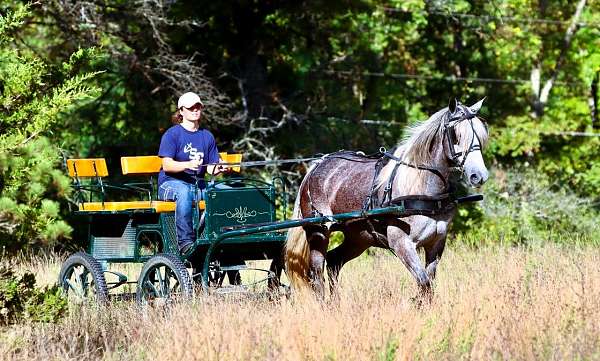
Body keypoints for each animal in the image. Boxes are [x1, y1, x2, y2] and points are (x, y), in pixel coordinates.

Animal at [284, 100, 488, 300]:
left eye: (480, 135)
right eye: (456, 135)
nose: (479, 176)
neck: (421, 186)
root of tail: (316, 166)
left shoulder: (436, 243)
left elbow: (429, 285)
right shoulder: (401, 243)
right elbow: (424, 283)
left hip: (359, 237)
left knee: (334, 262)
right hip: (318, 232)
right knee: (316, 274)